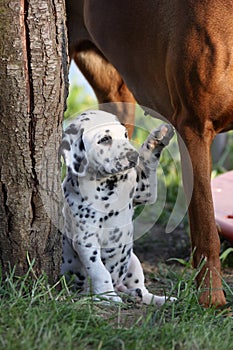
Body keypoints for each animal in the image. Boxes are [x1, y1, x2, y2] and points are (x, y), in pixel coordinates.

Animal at [60, 110, 175, 306]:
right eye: (105, 139)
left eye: (125, 134)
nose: (133, 157)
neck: (108, 184)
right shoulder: (86, 240)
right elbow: (100, 271)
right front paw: (107, 295)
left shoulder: (144, 191)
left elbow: (149, 164)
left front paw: (158, 137)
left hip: (133, 261)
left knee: (142, 289)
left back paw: (159, 298)